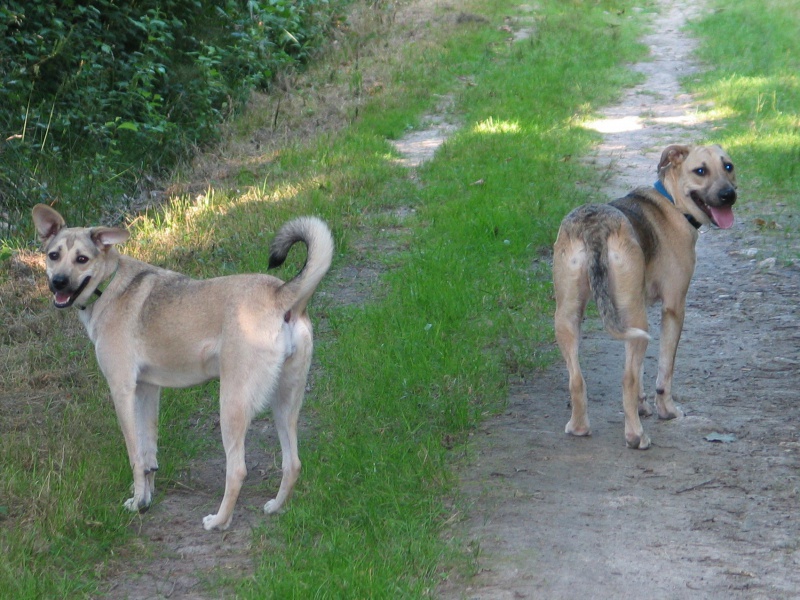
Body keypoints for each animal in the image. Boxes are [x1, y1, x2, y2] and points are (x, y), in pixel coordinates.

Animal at [32, 205, 332, 528]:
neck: (109, 285)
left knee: (238, 470)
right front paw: (145, 499)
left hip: (232, 404)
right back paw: (276, 506)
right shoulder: (147, 390)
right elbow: (149, 452)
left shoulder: (122, 391)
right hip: (285, 402)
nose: (58, 282)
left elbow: (135, 455)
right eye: (53, 255)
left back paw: (218, 521)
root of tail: (280, 294)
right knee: (293, 463)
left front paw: (138, 500)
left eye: (82, 259)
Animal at [556, 143, 736, 448]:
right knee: (626, 379)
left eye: (728, 166)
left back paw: (579, 426)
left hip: (568, 316)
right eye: (700, 171)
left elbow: (640, 375)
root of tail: (595, 227)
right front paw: (667, 410)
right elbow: (664, 370)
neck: (671, 202)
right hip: (637, 320)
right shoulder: (673, 308)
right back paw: (636, 436)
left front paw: (641, 406)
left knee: (576, 379)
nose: (729, 195)